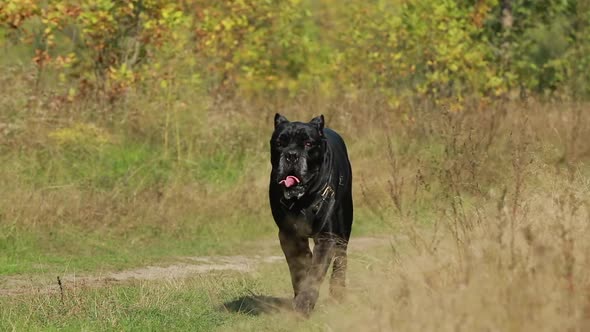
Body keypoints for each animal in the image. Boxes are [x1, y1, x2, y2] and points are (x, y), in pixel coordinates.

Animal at [270, 113, 354, 316]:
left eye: (308, 143)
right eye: (280, 143)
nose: (292, 155)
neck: (302, 199)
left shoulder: (326, 237)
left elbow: (316, 271)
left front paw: (304, 303)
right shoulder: (289, 236)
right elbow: (299, 268)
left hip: (344, 227)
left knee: (341, 258)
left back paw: (337, 293)